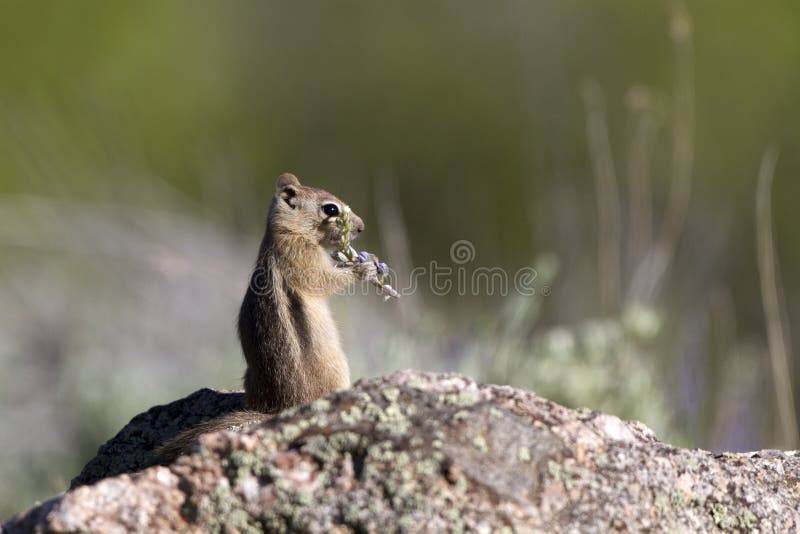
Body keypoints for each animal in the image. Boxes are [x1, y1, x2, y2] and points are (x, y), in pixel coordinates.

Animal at [155, 174, 376, 462]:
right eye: (330, 209)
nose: (360, 227)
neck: (288, 232)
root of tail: (282, 409)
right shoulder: (303, 258)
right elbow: (327, 280)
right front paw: (365, 267)